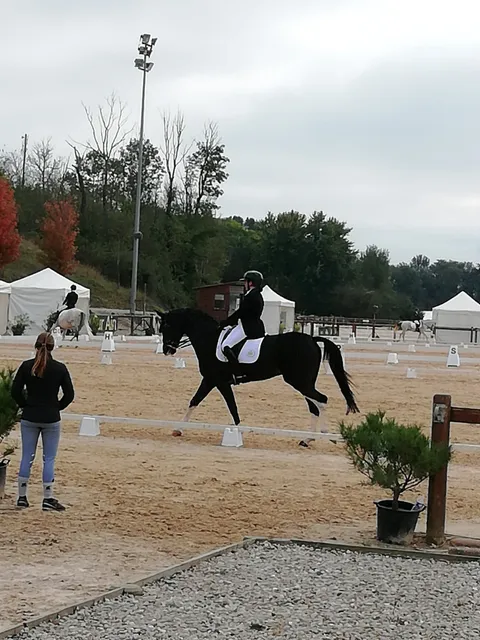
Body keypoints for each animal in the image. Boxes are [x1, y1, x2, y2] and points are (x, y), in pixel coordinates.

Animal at [156, 308, 359, 447]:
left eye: (166, 326)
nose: (167, 350)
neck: (210, 339)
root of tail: (312, 339)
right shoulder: (215, 382)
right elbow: (201, 402)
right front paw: (178, 429)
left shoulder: (215, 381)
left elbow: (221, 405)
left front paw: (235, 432)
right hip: (304, 382)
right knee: (314, 405)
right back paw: (307, 439)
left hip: (299, 381)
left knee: (321, 400)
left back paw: (322, 434)